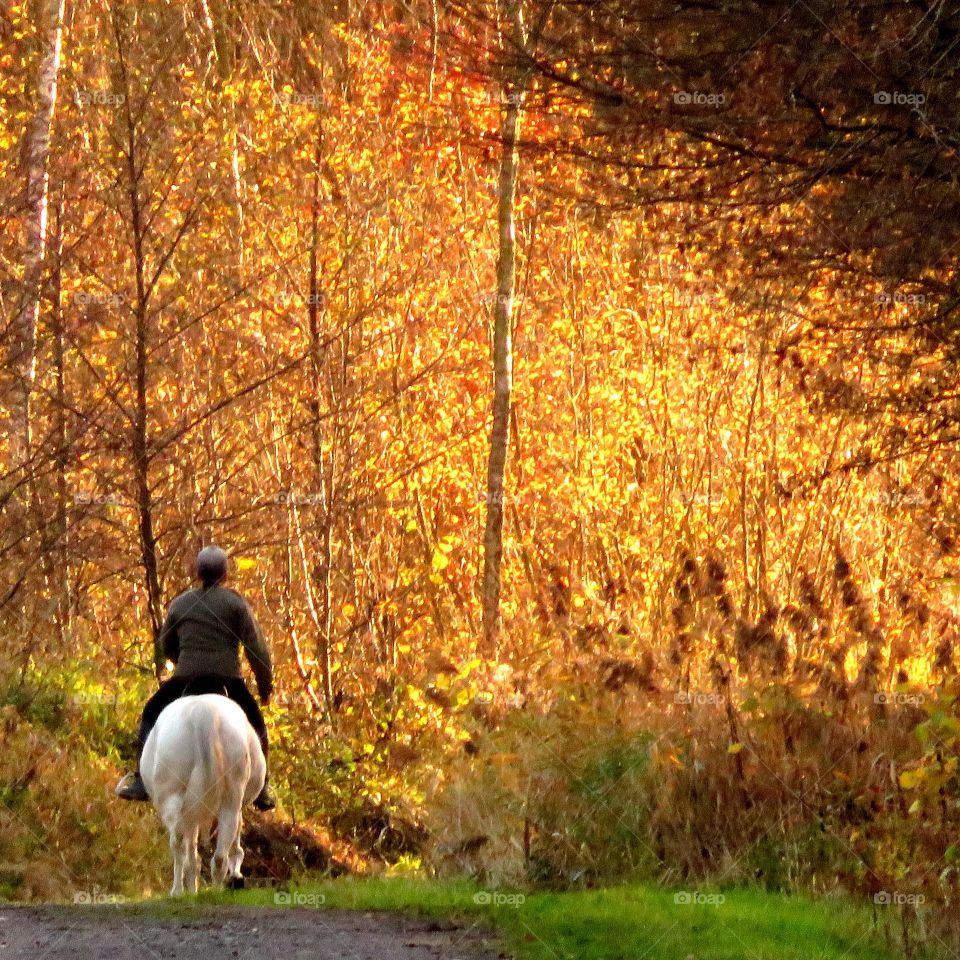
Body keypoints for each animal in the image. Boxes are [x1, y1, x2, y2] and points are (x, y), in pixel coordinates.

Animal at [141, 692, 266, 896]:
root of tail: (205, 712)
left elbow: (191, 851)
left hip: (173, 799)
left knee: (178, 844)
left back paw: (178, 891)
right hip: (229, 800)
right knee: (220, 853)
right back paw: (216, 889)